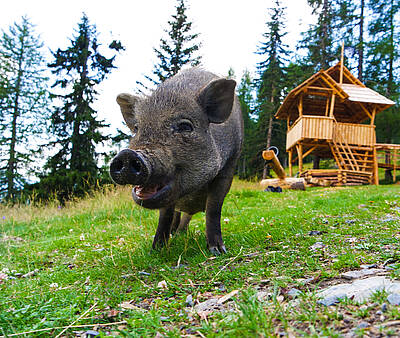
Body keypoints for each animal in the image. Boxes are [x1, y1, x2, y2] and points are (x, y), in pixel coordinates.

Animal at [111, 68, 245, 254]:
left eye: (185, 126)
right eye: (137, 128)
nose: (127, 154)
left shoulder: (229, 166)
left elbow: (213, 208)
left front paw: (218, 251)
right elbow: (165, 215)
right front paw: (156, 249)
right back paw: (175, 234)